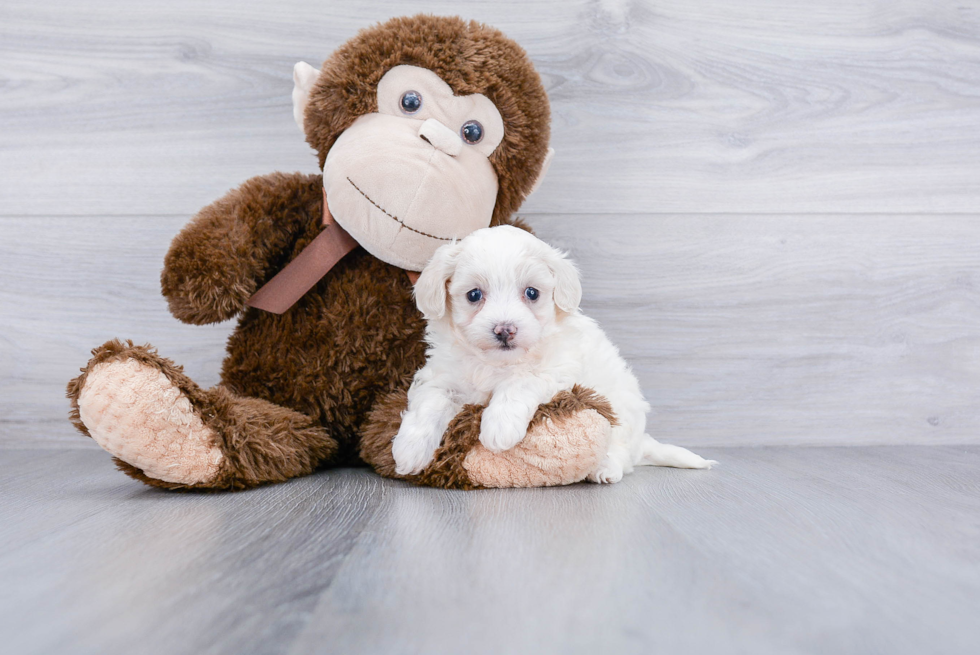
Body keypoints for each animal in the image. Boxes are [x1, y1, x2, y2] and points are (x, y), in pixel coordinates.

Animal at [386, 228, 716, 484]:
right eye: (474, 295)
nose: (505, 329)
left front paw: (499, 427)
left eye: (532, 293)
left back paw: (606, 469)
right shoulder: (441, 376)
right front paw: (408, 451)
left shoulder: (556, 368)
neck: (496, 363)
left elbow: (519, 382)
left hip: (623, 412)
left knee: (620, 451)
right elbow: (430, 404)